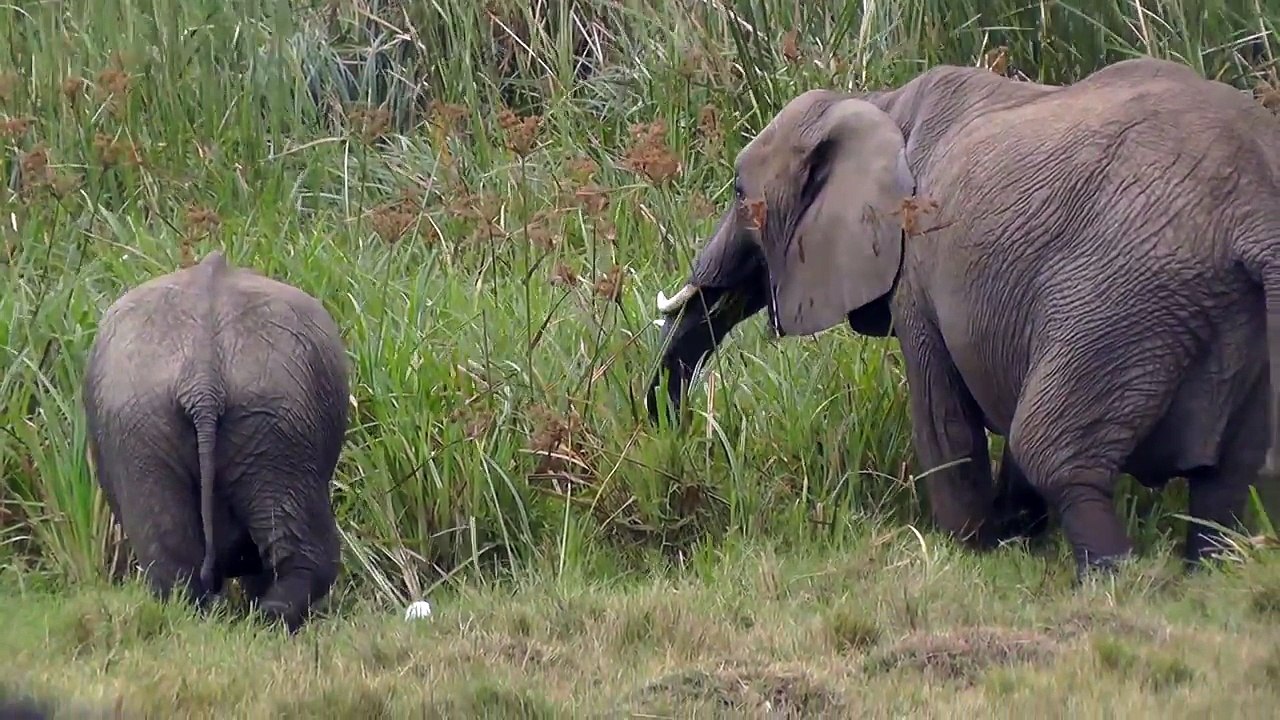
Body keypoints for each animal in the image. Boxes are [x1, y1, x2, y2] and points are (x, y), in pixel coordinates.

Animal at [645, 56, 1280, 578]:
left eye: (737, 191)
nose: (669, 434)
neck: (880, 103)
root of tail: (1255, 215)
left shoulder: (918, 268)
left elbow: (942, 414)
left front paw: (972, 547)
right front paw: (1014, 538)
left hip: (1119, 294)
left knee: (1052, 450)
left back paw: (1112, 580)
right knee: (1225, 480)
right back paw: (1205, 574)